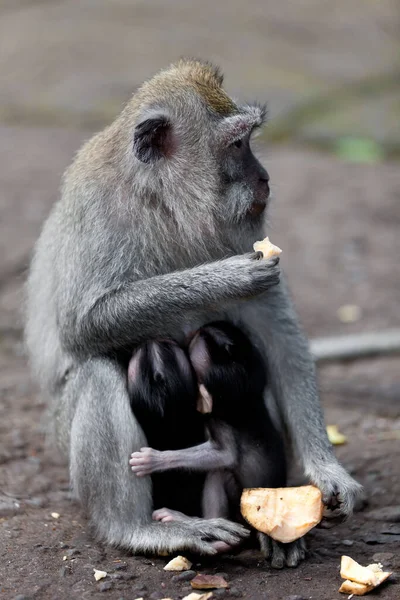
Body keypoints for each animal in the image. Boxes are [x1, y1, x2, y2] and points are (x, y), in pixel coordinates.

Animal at [25, 59, 362, 564]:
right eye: (237, 144)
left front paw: (327, 472)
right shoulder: (99, 217)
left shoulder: (241, 229)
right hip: (62, 437)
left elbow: (277, 336)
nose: (264, 177)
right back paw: (140, 530)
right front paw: (223, 278)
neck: (162, 203)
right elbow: (82, 326)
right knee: (97, 375)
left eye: (249, 140)